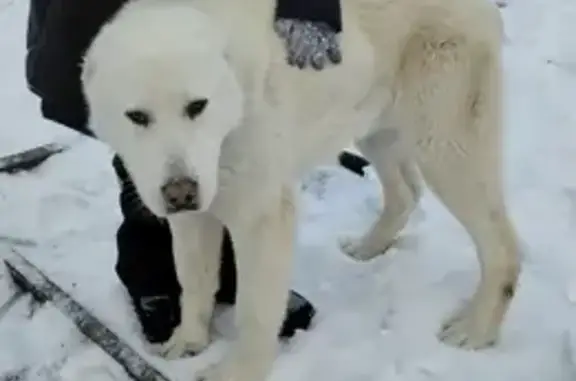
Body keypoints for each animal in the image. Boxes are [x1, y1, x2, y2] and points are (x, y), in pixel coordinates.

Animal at [82, 0, 520, 378]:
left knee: (502, 245)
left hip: (445, 146)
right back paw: (367, 248)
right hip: (375, 126)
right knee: (406, 193)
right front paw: (188, 342)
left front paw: (238, 373)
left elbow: (255, 309)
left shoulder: (262, 214)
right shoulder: (194, 214)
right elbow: (193, 280)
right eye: (137, 116)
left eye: (197, 106)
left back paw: (476, 329)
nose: (180, 192)